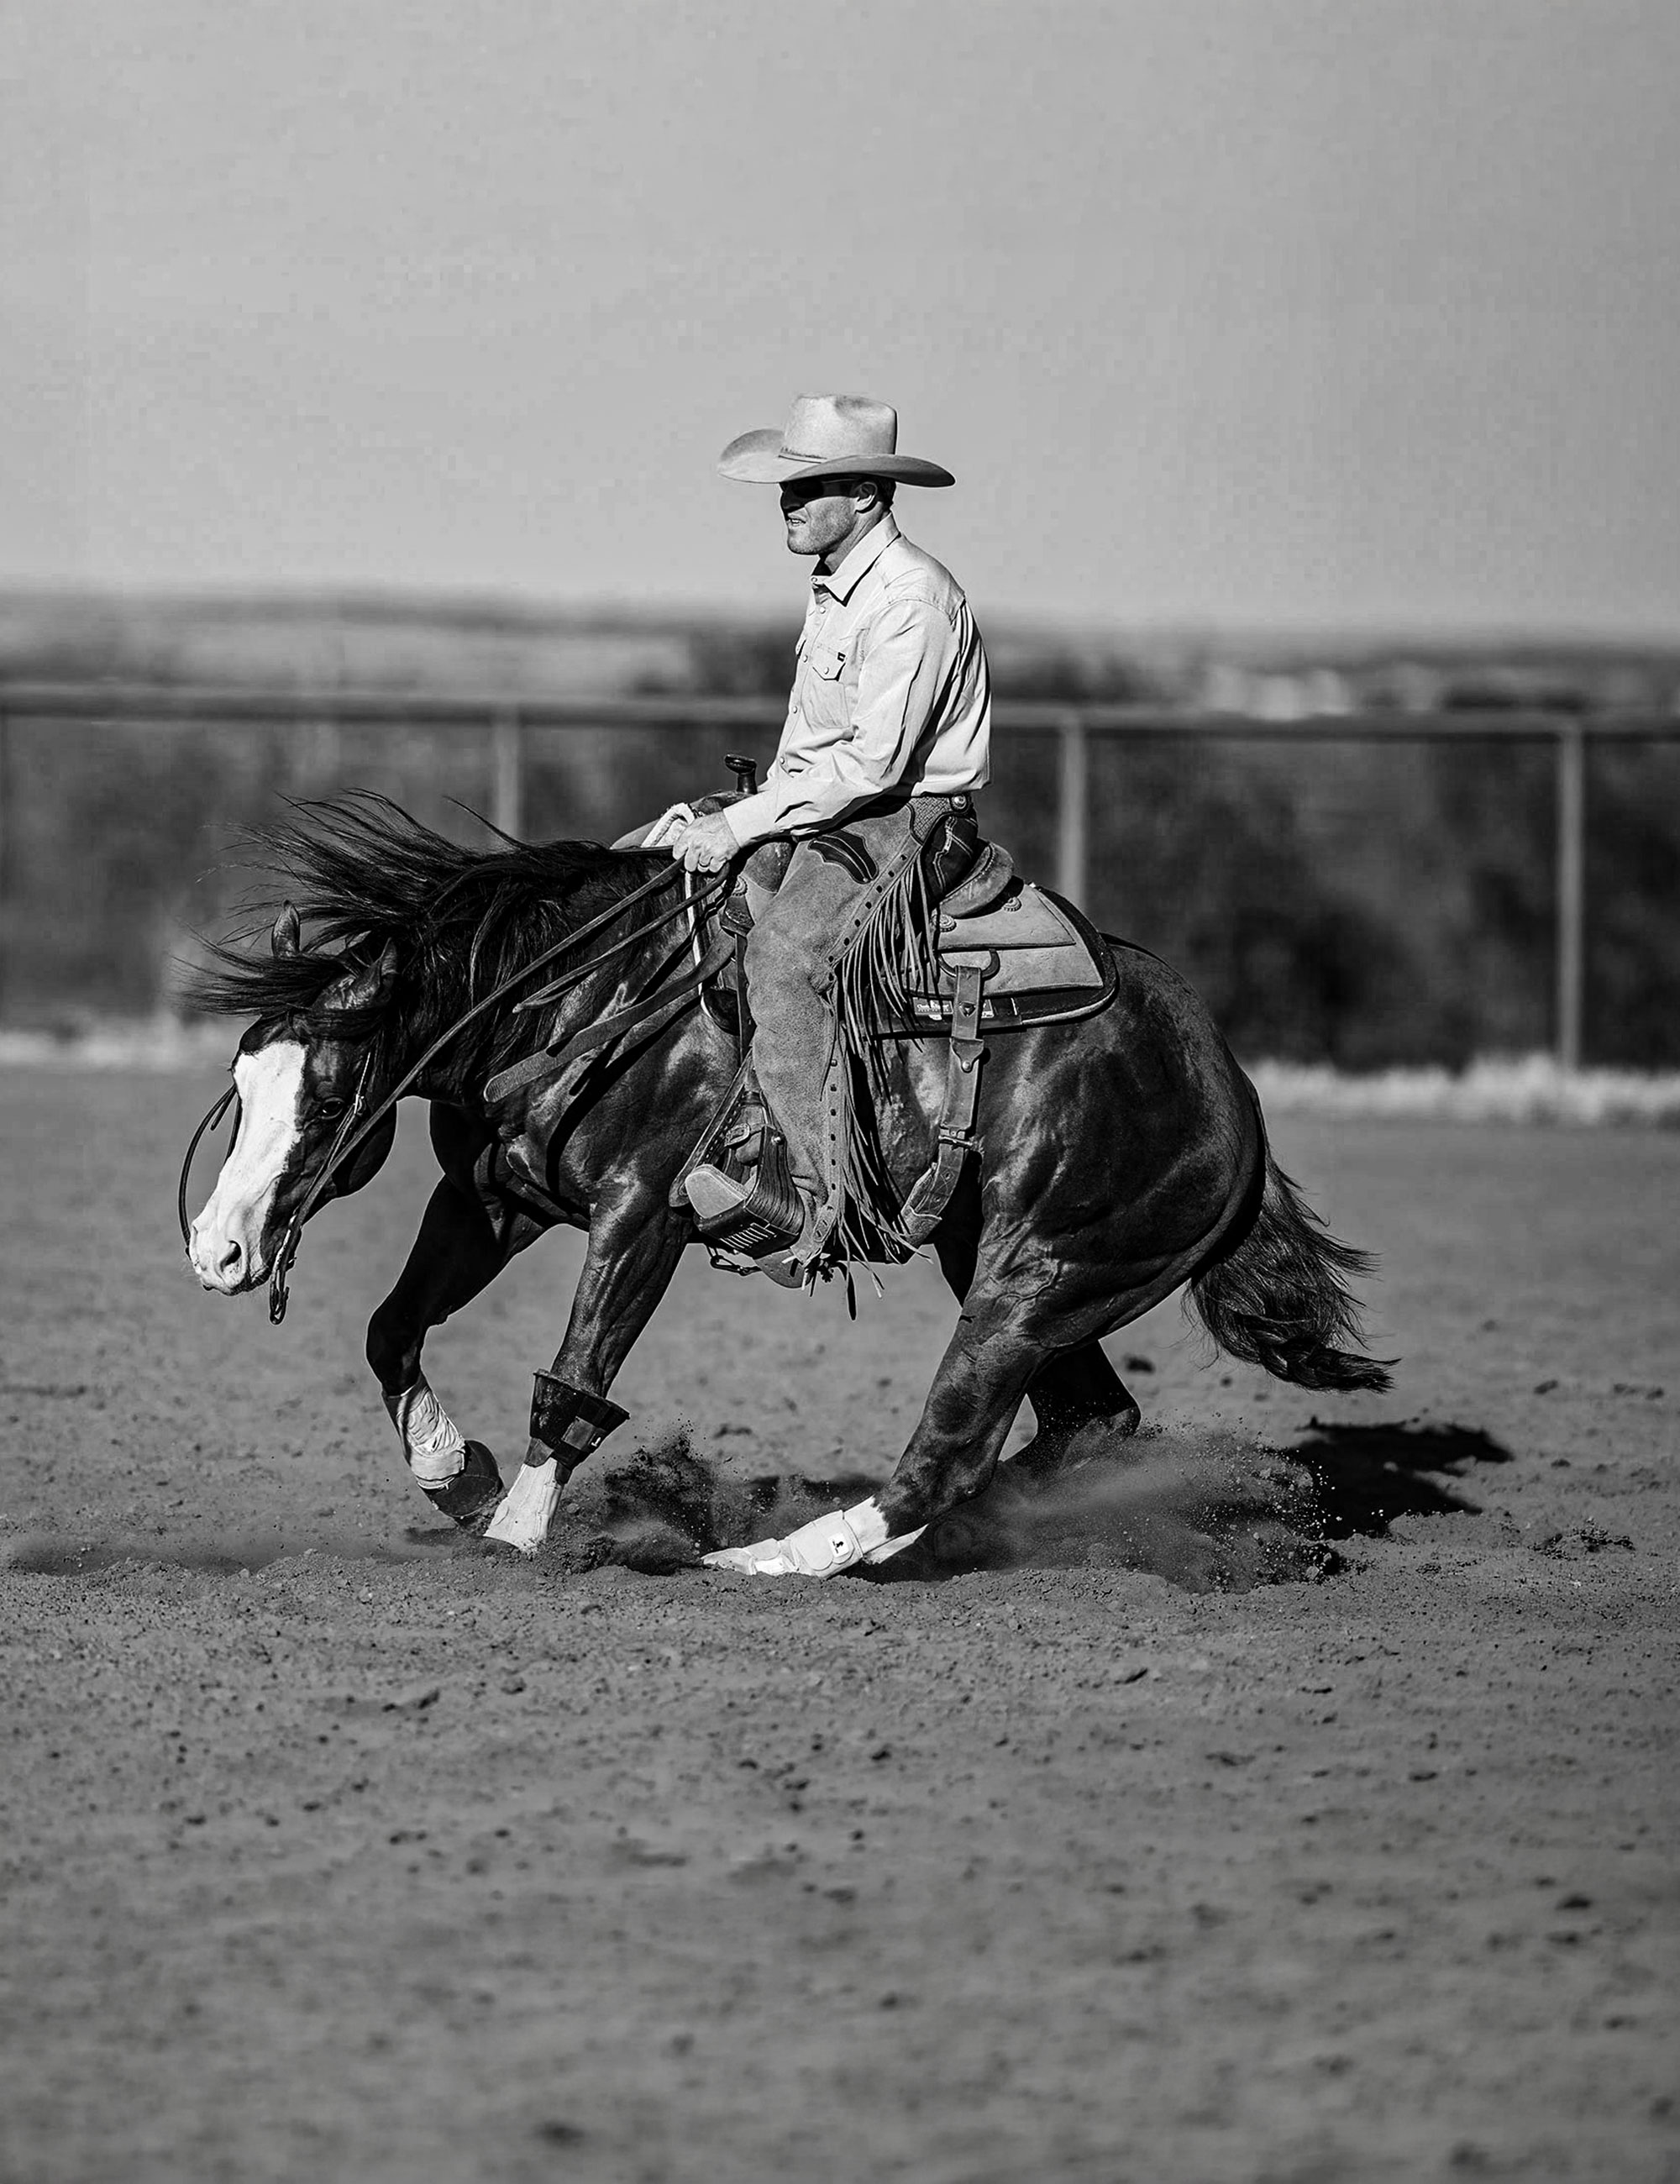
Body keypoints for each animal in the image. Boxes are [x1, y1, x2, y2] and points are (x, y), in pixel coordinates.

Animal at [182, 796, 1391, 1575]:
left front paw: (517, 1532)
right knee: (1089, 1422)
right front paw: (455, 1472)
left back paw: (782, 1556)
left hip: (1040, 1276)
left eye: (328, 1098)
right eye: (241, 1082)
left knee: (953, 1445)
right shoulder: (491, 1198)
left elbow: (576, 1376)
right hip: (1021, 1269)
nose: (216, 1249)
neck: (582, 997)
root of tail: (1231, 1095)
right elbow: (391, 1328)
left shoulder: (640, 1217)